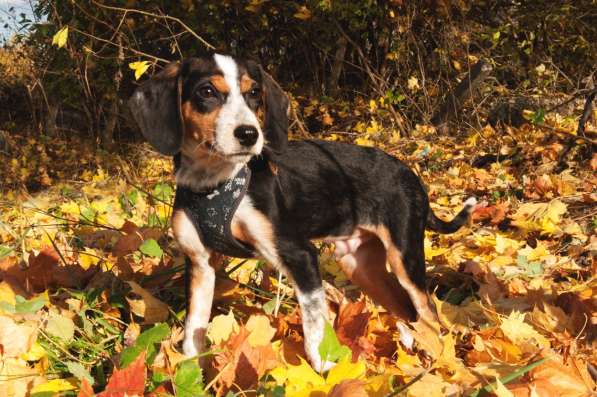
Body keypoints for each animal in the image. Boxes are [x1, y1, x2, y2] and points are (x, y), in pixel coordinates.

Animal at [129, 53, 474, 372]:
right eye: (207, 91)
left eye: (254, 93)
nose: (249, 135)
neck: (214, 181)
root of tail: (410, 174)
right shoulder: (199, 264)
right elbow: (193, 332)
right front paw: (190, 373)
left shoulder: (300, 255)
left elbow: (314, 327)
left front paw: (325, 372)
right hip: (359, 266)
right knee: (407, 312)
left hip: (404, 257)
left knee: (428, 314)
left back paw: (438, 362)